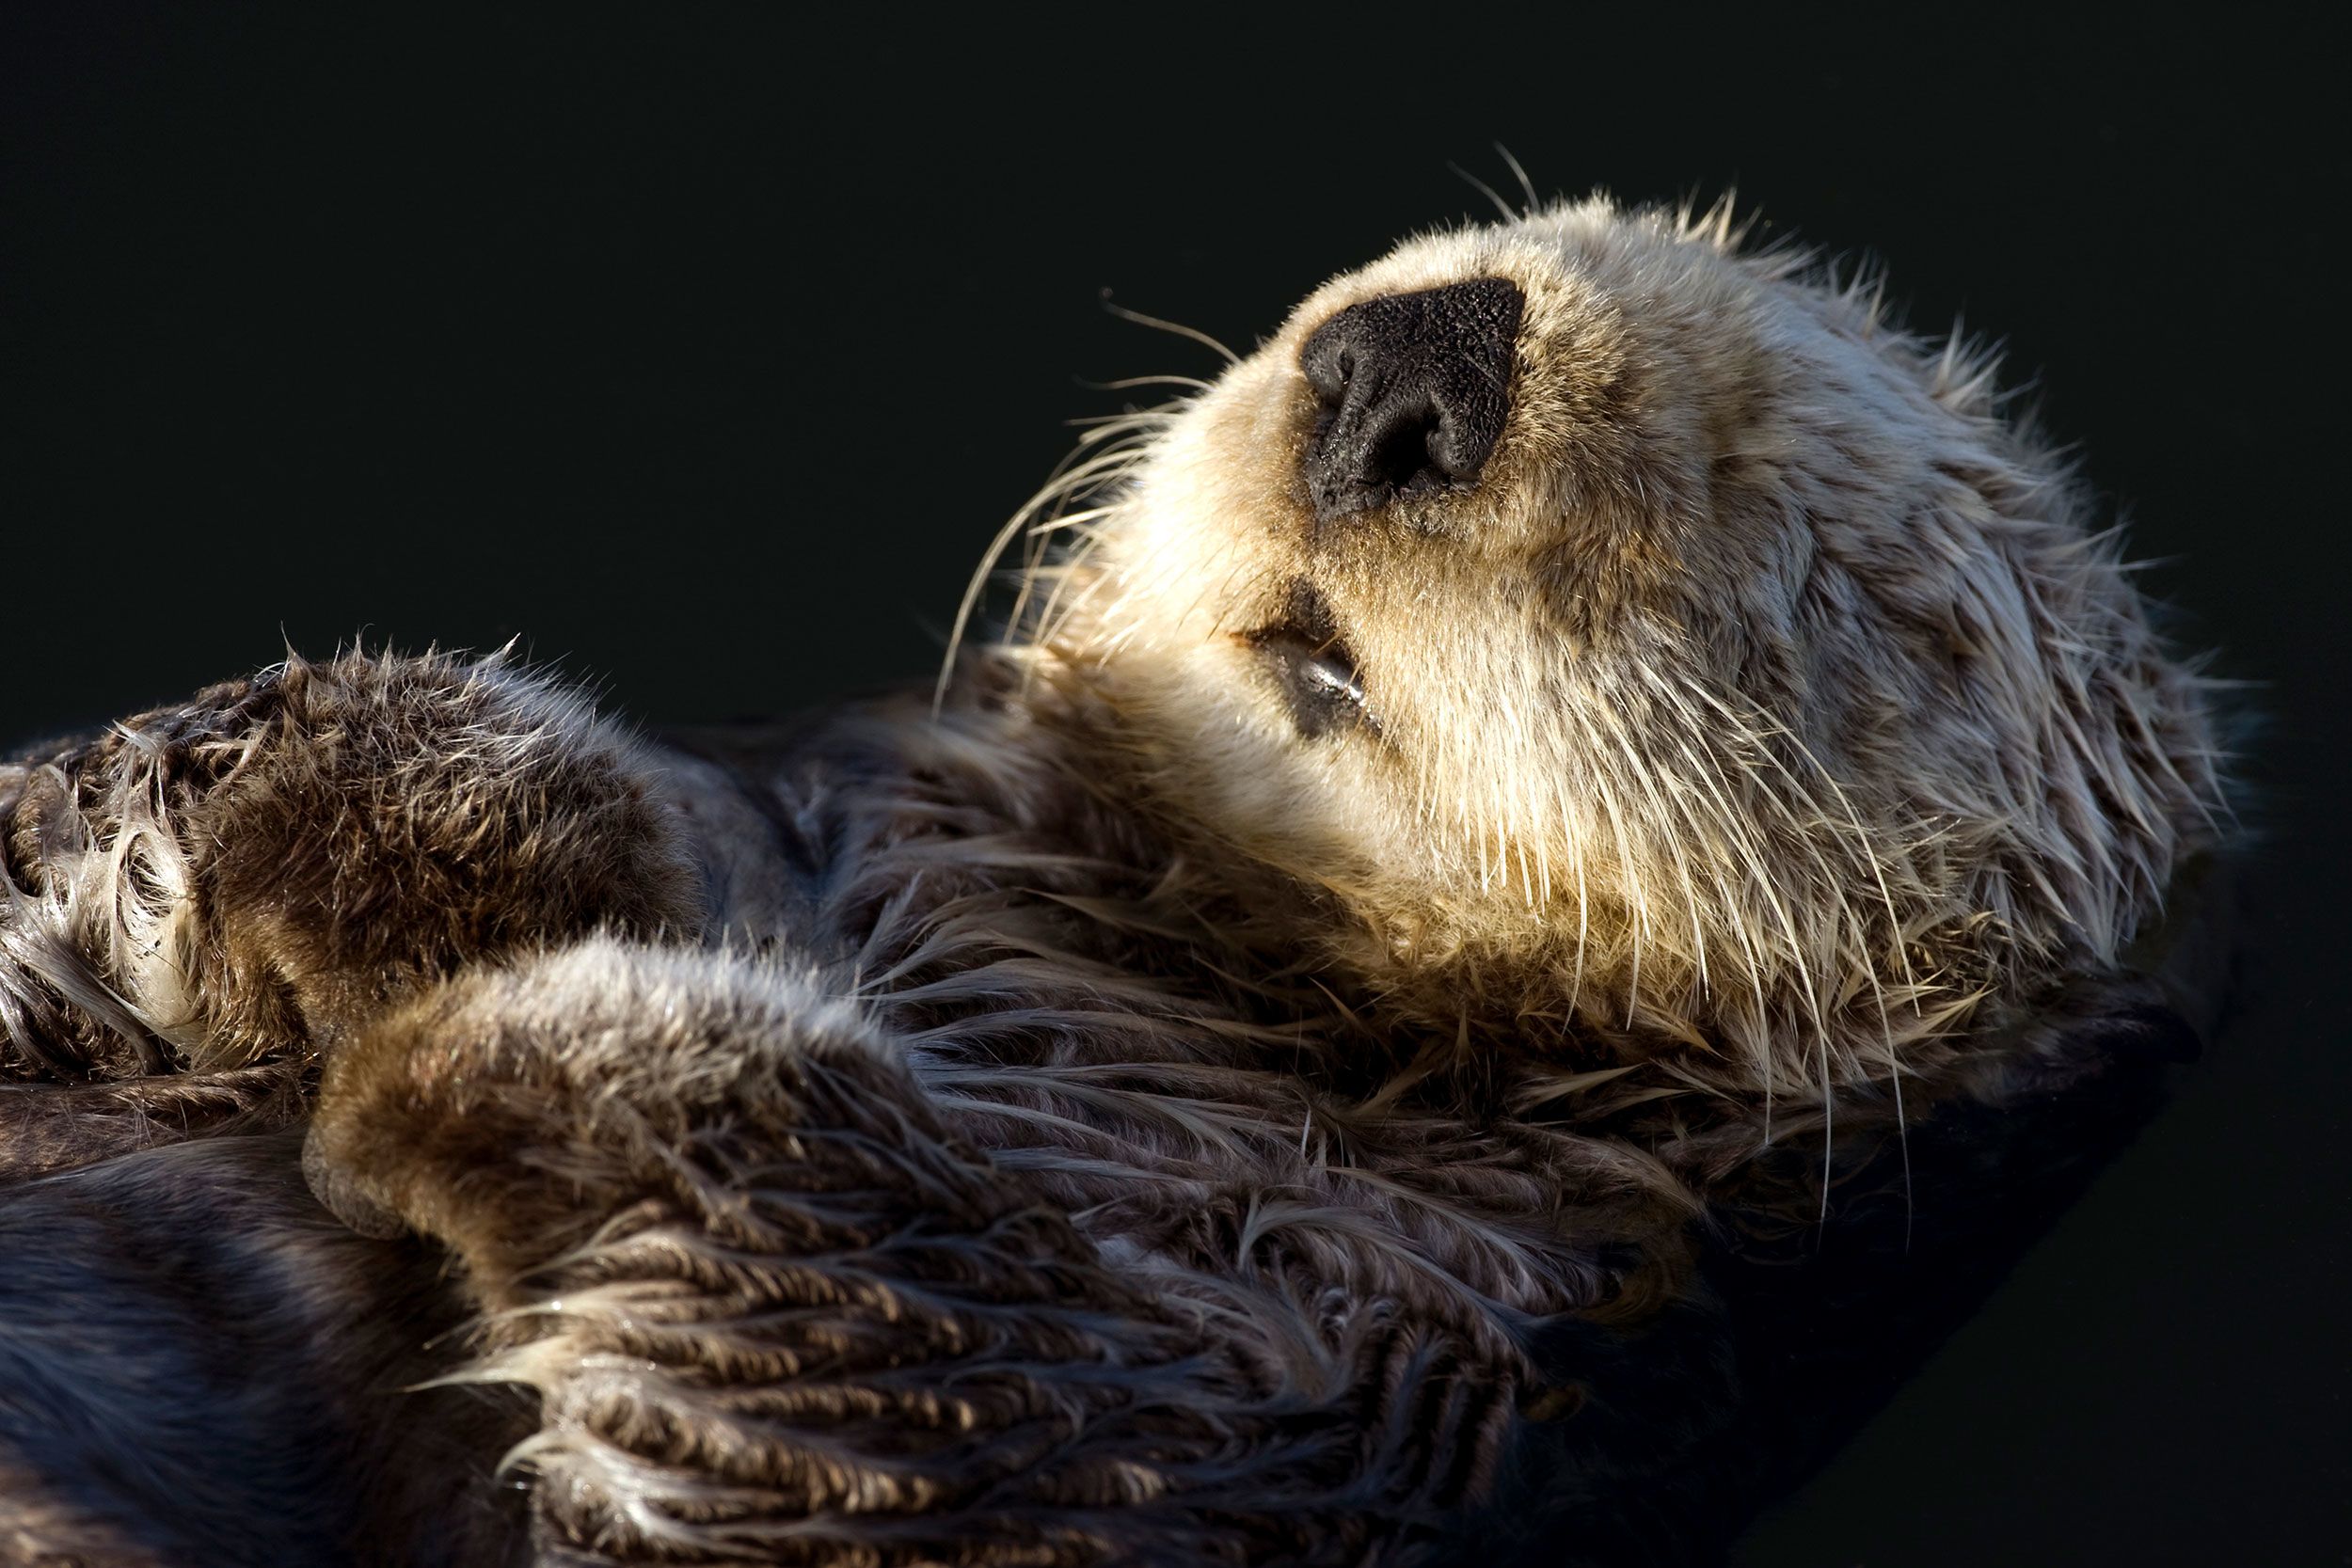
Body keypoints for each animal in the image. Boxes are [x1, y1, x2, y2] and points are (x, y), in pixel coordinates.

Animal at [0, 199, 2220, 1568]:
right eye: (1446, 251)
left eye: (1841, 574)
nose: (1413, 359)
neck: (1151, 950)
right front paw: (333, 798)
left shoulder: (1332, 1385)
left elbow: (852, 1359)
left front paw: (474, 1042)